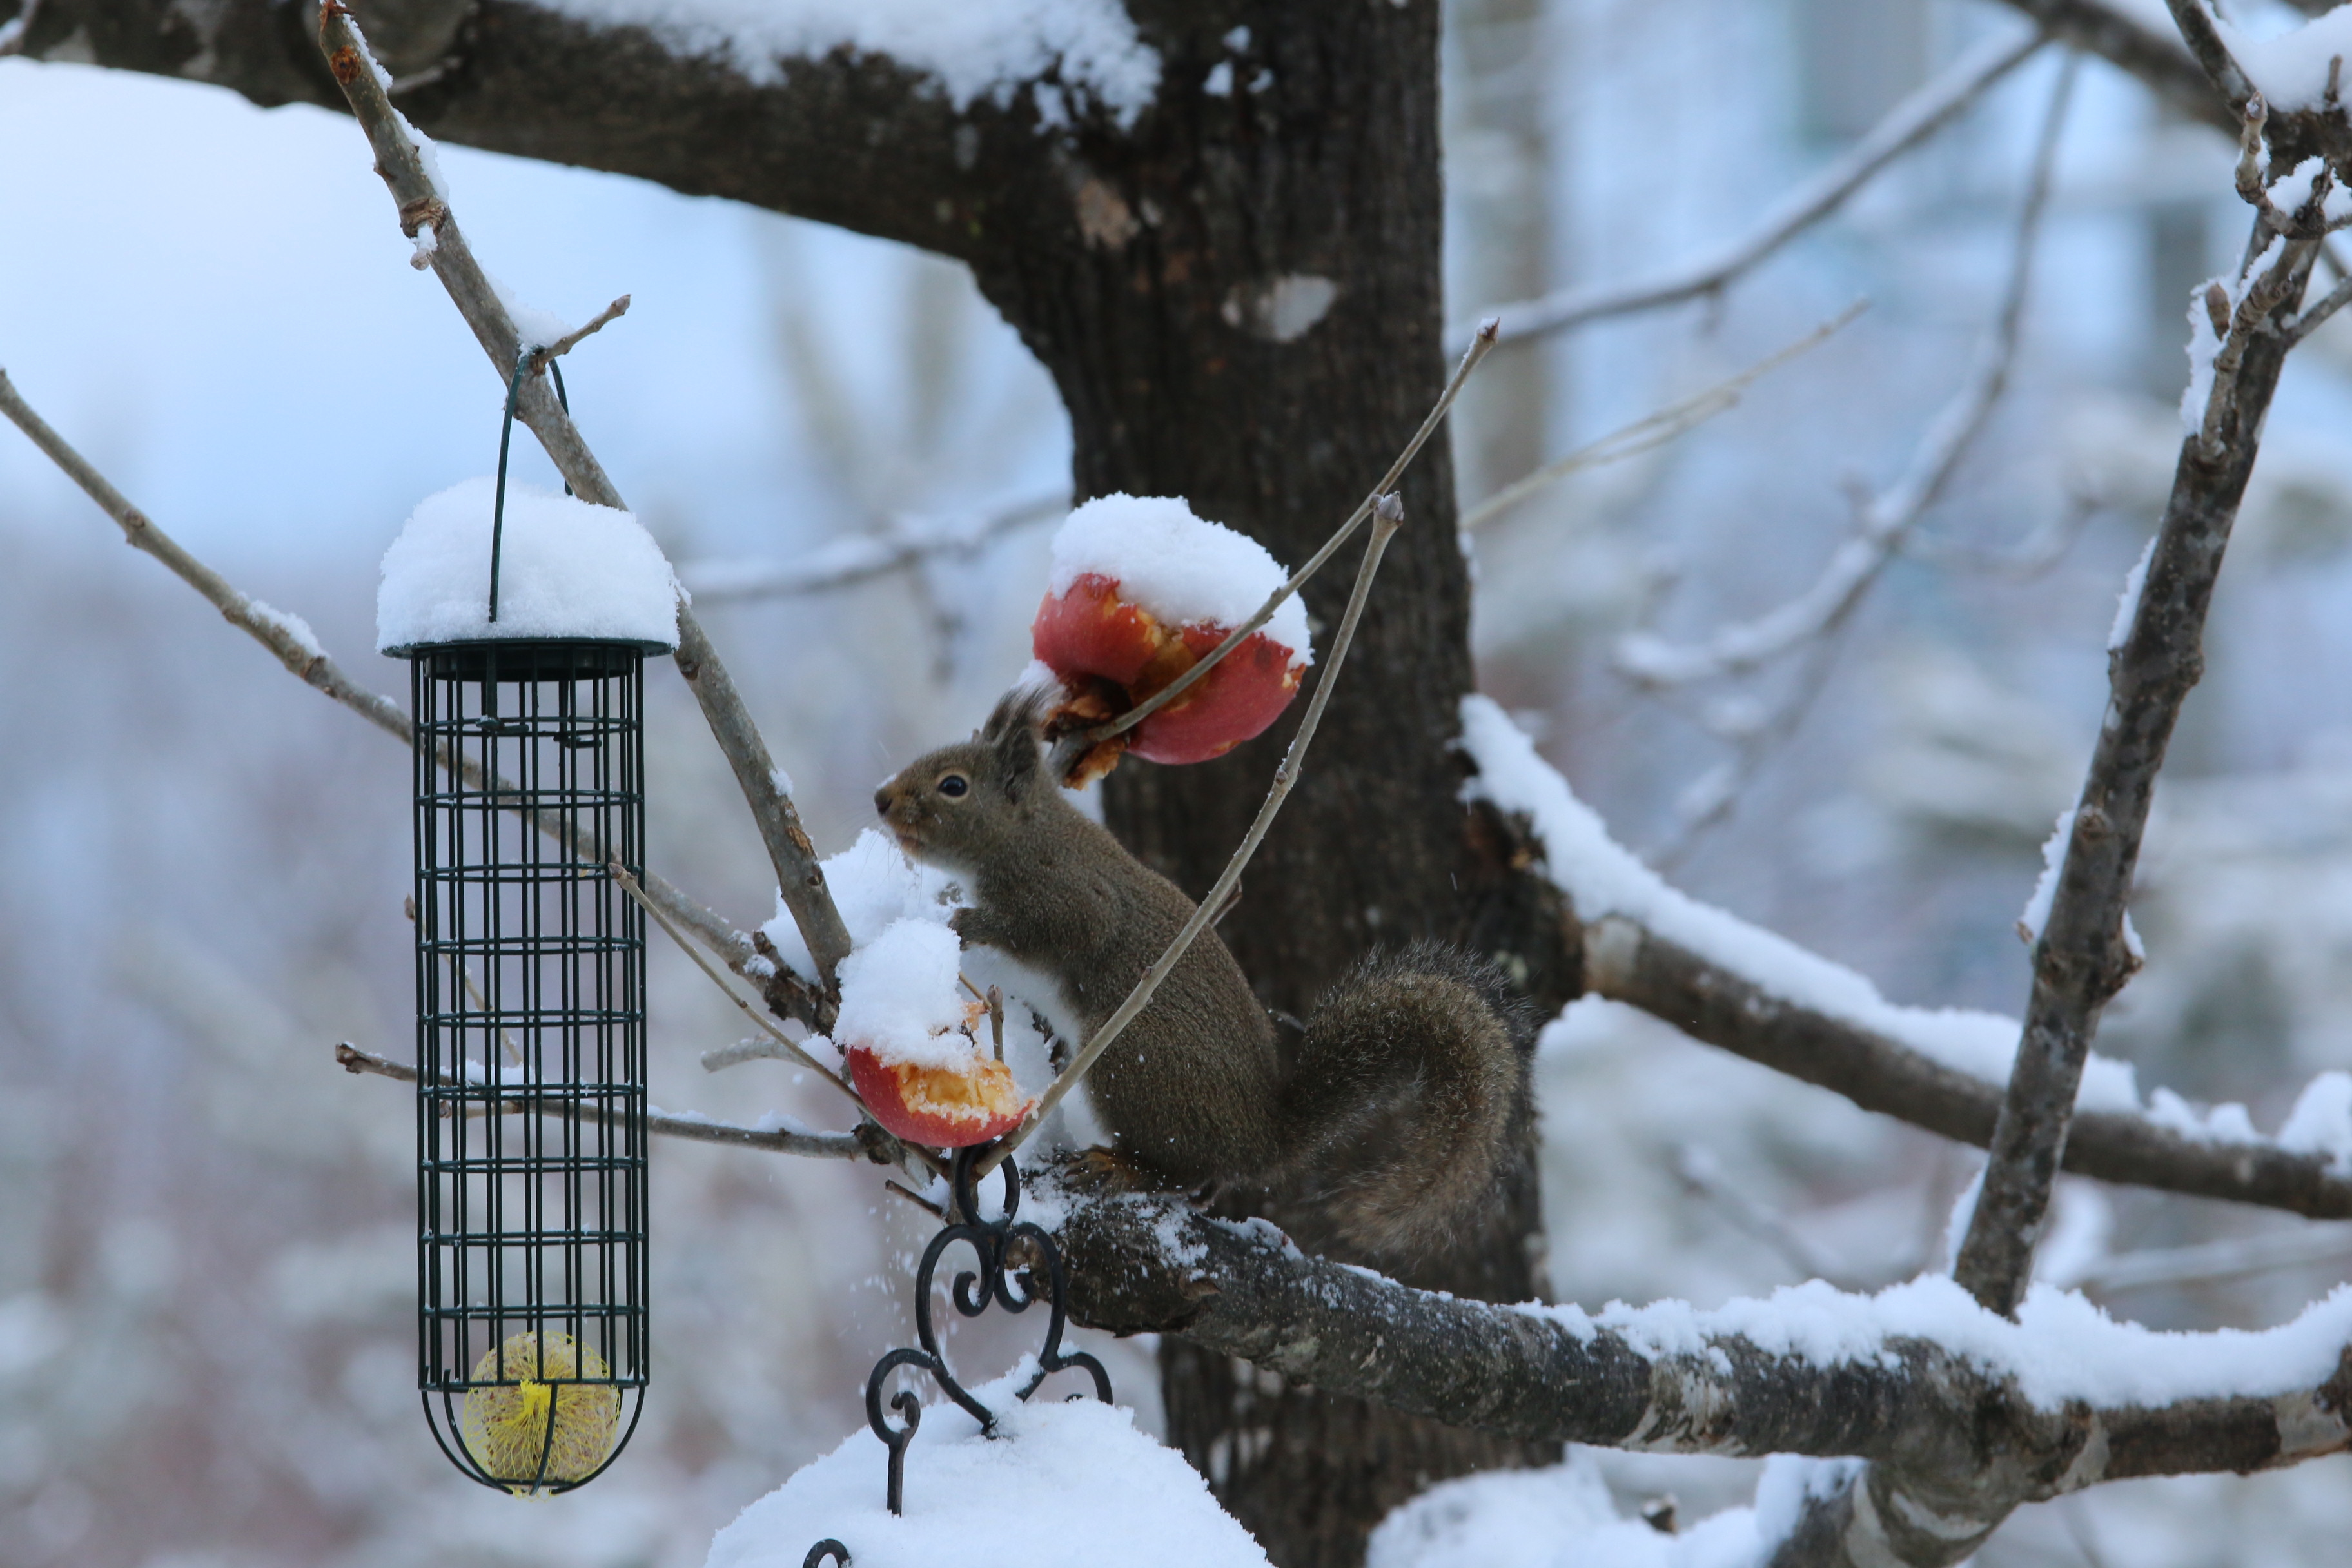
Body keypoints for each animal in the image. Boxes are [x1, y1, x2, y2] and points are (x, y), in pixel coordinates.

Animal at [875, 691, 1533, 1269]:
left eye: (953, 786)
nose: (881, 798)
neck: (1024, 835)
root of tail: (1261, 1137)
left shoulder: (1069, 896)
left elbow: (1064, 929)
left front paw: (967, 920)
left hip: (1133, 1062)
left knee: (1180, 1166)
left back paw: (1121, 1167)